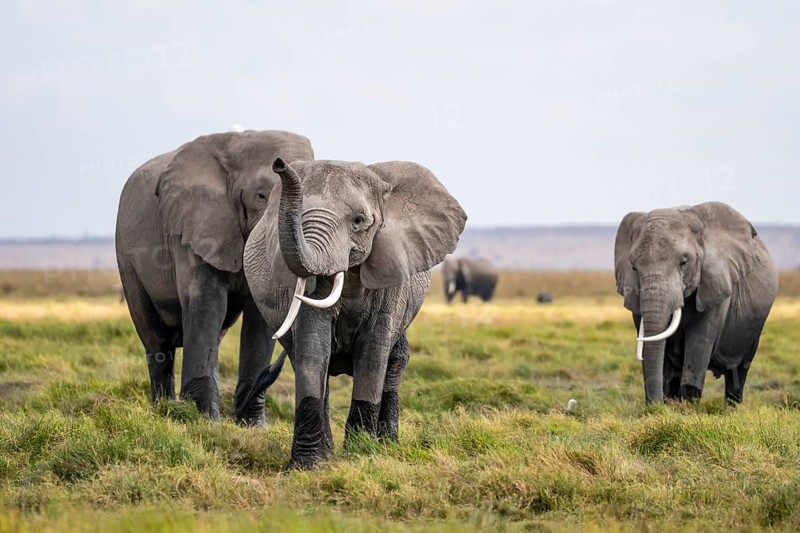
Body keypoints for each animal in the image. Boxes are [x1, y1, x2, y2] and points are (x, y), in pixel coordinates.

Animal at [115, 130, 314, 424]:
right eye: (260, 195)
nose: (280, 164)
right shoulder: (193, 228)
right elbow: (207, 304)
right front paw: (204, 420)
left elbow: (258, 317)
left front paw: (252, 426)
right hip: (127, 259)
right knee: (156, 340)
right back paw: (163, 410)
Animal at [240, 157, 466, 468]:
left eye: (359, 221)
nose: (279, 164)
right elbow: (313, 347)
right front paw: (308, 466)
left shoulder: (393, 271)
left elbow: (373, 354)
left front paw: (361, 455)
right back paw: (329, 453)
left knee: (395, 362)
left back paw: (388, 446)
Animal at [614, 202, 778, 404]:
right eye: (634, 267)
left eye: (684, 262)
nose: (655, 405)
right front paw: (667, 406)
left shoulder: (716, 283)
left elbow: (699, 339)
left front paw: (687, 406)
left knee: (738, 371)